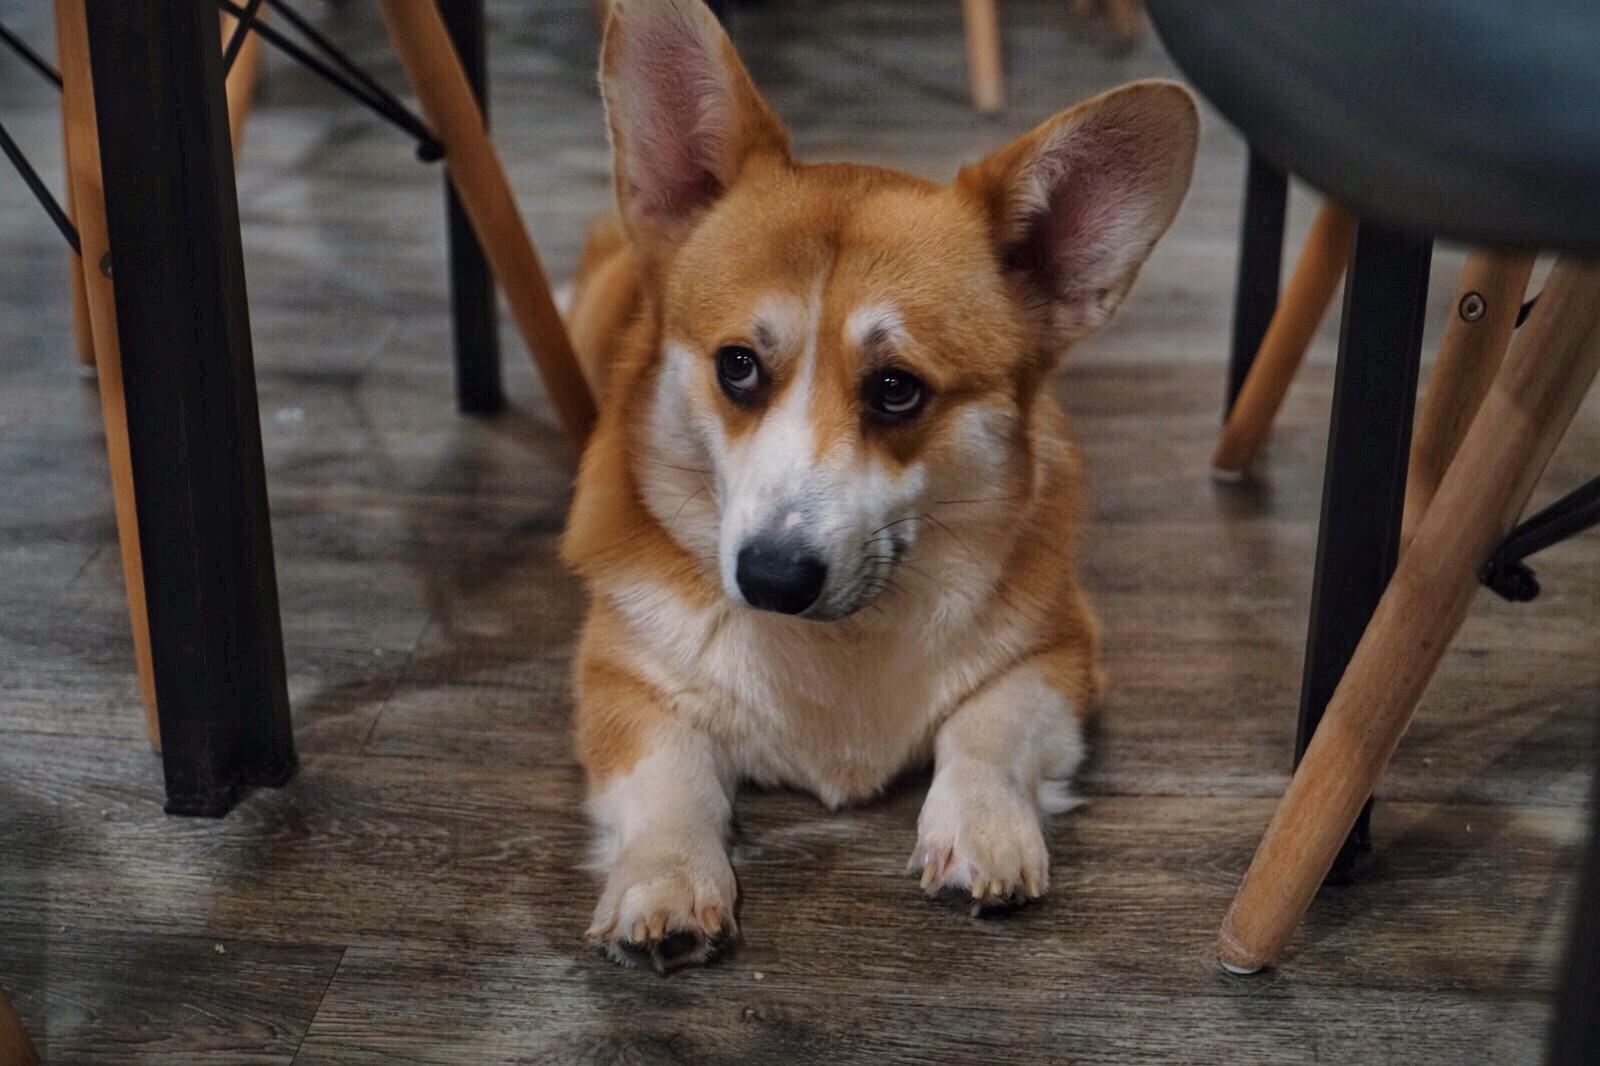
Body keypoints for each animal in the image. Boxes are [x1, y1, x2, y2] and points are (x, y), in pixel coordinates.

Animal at [556, 0, 1196, 966]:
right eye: (737, 366)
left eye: (897, 388)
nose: (772, 579)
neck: (839, 645)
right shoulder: (622, 683)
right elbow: (670, 779)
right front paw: (663, 884)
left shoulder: (1058, 654)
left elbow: (988, 726)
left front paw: (981, 829)